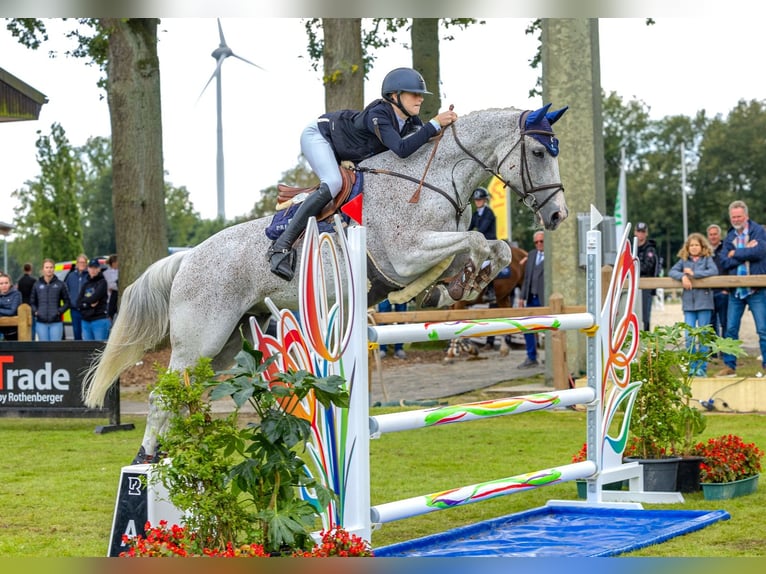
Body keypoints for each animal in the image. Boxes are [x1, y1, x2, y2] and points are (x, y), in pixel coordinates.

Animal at [82, 102, 568, 464]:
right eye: (539, 153)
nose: (558, 215)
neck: (430, 178)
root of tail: (186, 258)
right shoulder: (406, 254)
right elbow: (475, 240)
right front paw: (455, 284)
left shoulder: (440, 249)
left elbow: (492, 247)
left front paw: (469, 282)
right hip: (200, 337)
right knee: (163, 396)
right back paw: (147, 460)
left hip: (225, 343)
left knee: (186, 393)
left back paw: (177, 453)